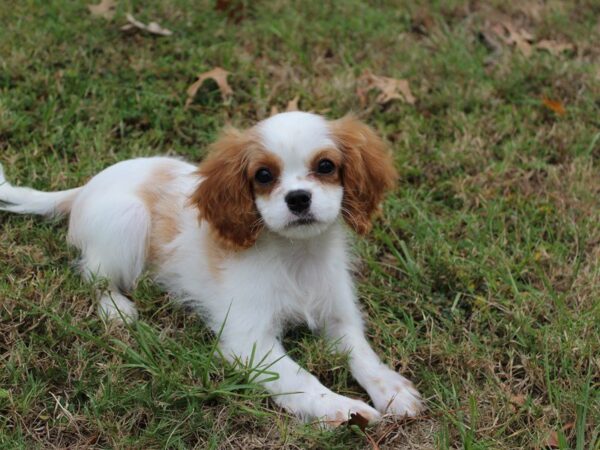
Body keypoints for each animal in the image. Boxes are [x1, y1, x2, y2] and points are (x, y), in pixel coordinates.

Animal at [0, 112, 422, 426]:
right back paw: (116, 310)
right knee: (93, 276)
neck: (296, 255)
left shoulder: (338, 316)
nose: (299, 199)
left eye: (326, 166)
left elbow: (362, 354)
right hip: (126, 219)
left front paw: (392, 390)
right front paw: (341, 408)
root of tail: (84, 188)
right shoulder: (250, 342)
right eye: (263, 175)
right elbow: (300, 377)